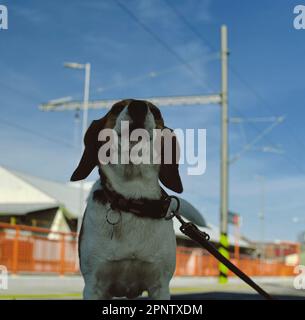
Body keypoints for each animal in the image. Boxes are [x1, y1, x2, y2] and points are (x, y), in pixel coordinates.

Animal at [70, 99, 182, 298]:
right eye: (116, 108)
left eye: (155, 111)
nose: (138, 106)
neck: (132, 199)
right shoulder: (94, 285)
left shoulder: (160, 285)